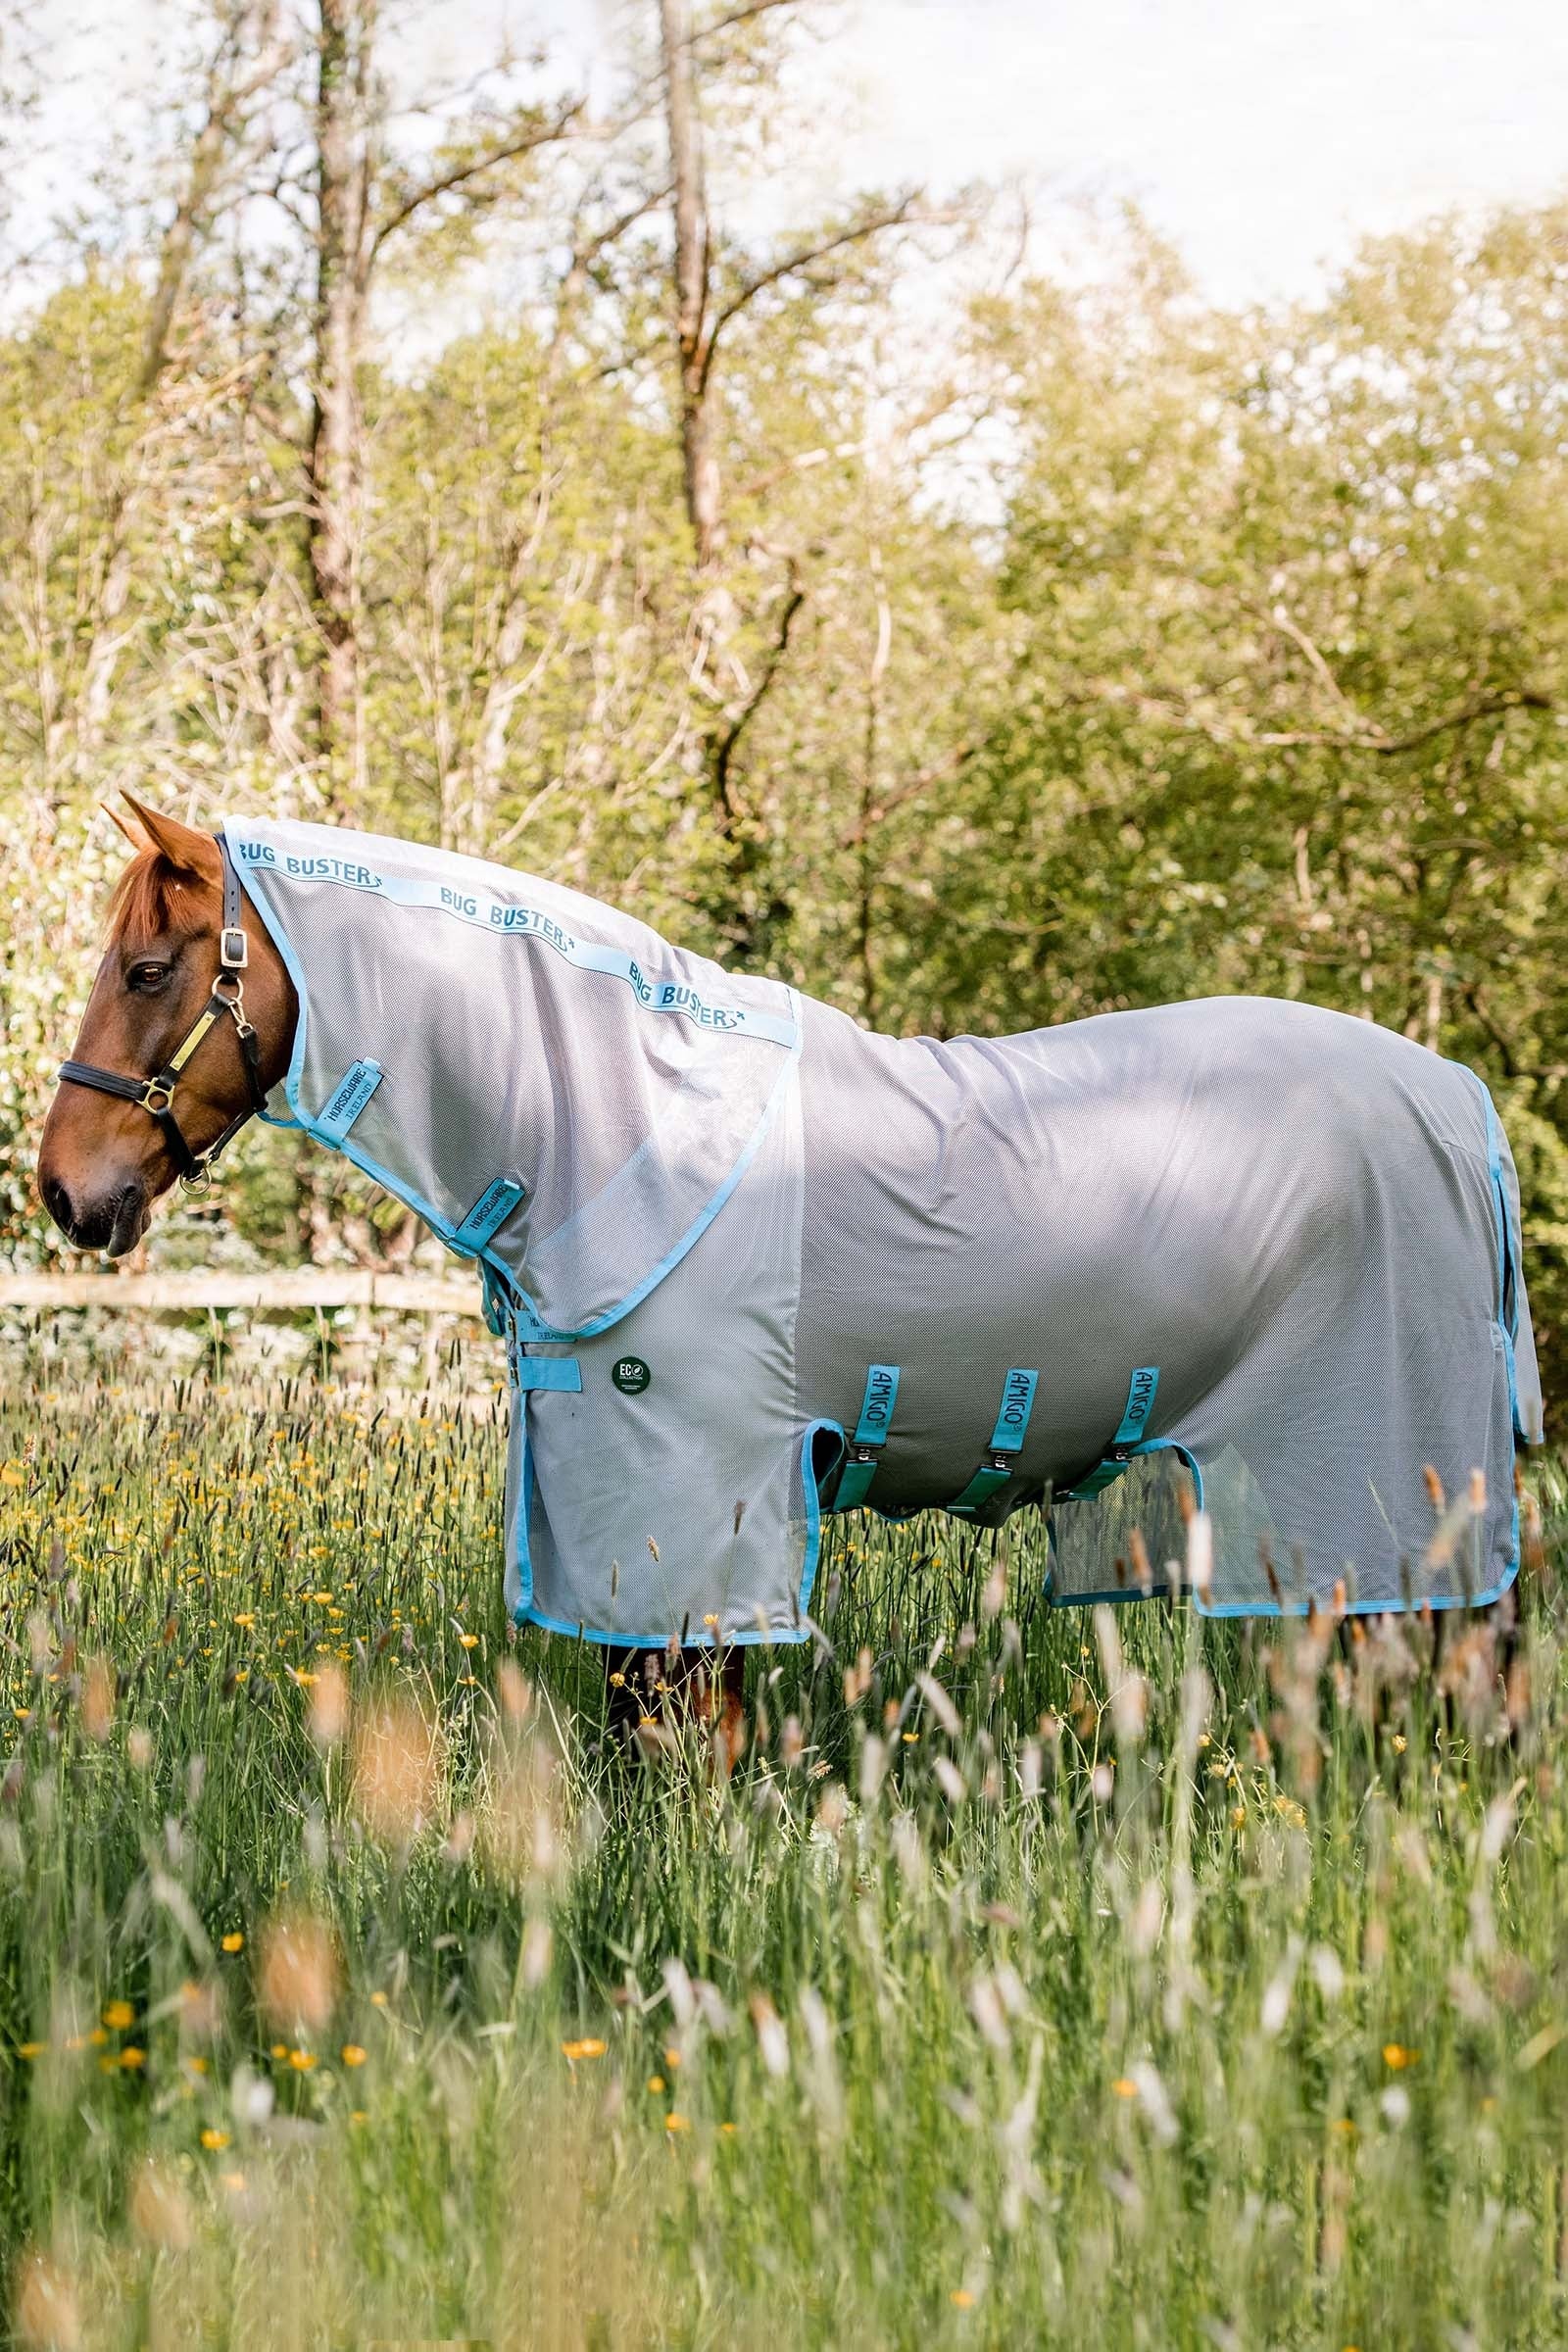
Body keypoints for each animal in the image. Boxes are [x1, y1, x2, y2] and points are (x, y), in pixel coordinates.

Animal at [38, 796, 1542, 1743]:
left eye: (152, 968)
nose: (65, 1188)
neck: (626, 1119)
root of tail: (1459, 1101)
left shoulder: (694, 1511)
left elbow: (679, 1738)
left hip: (1375, 1488)